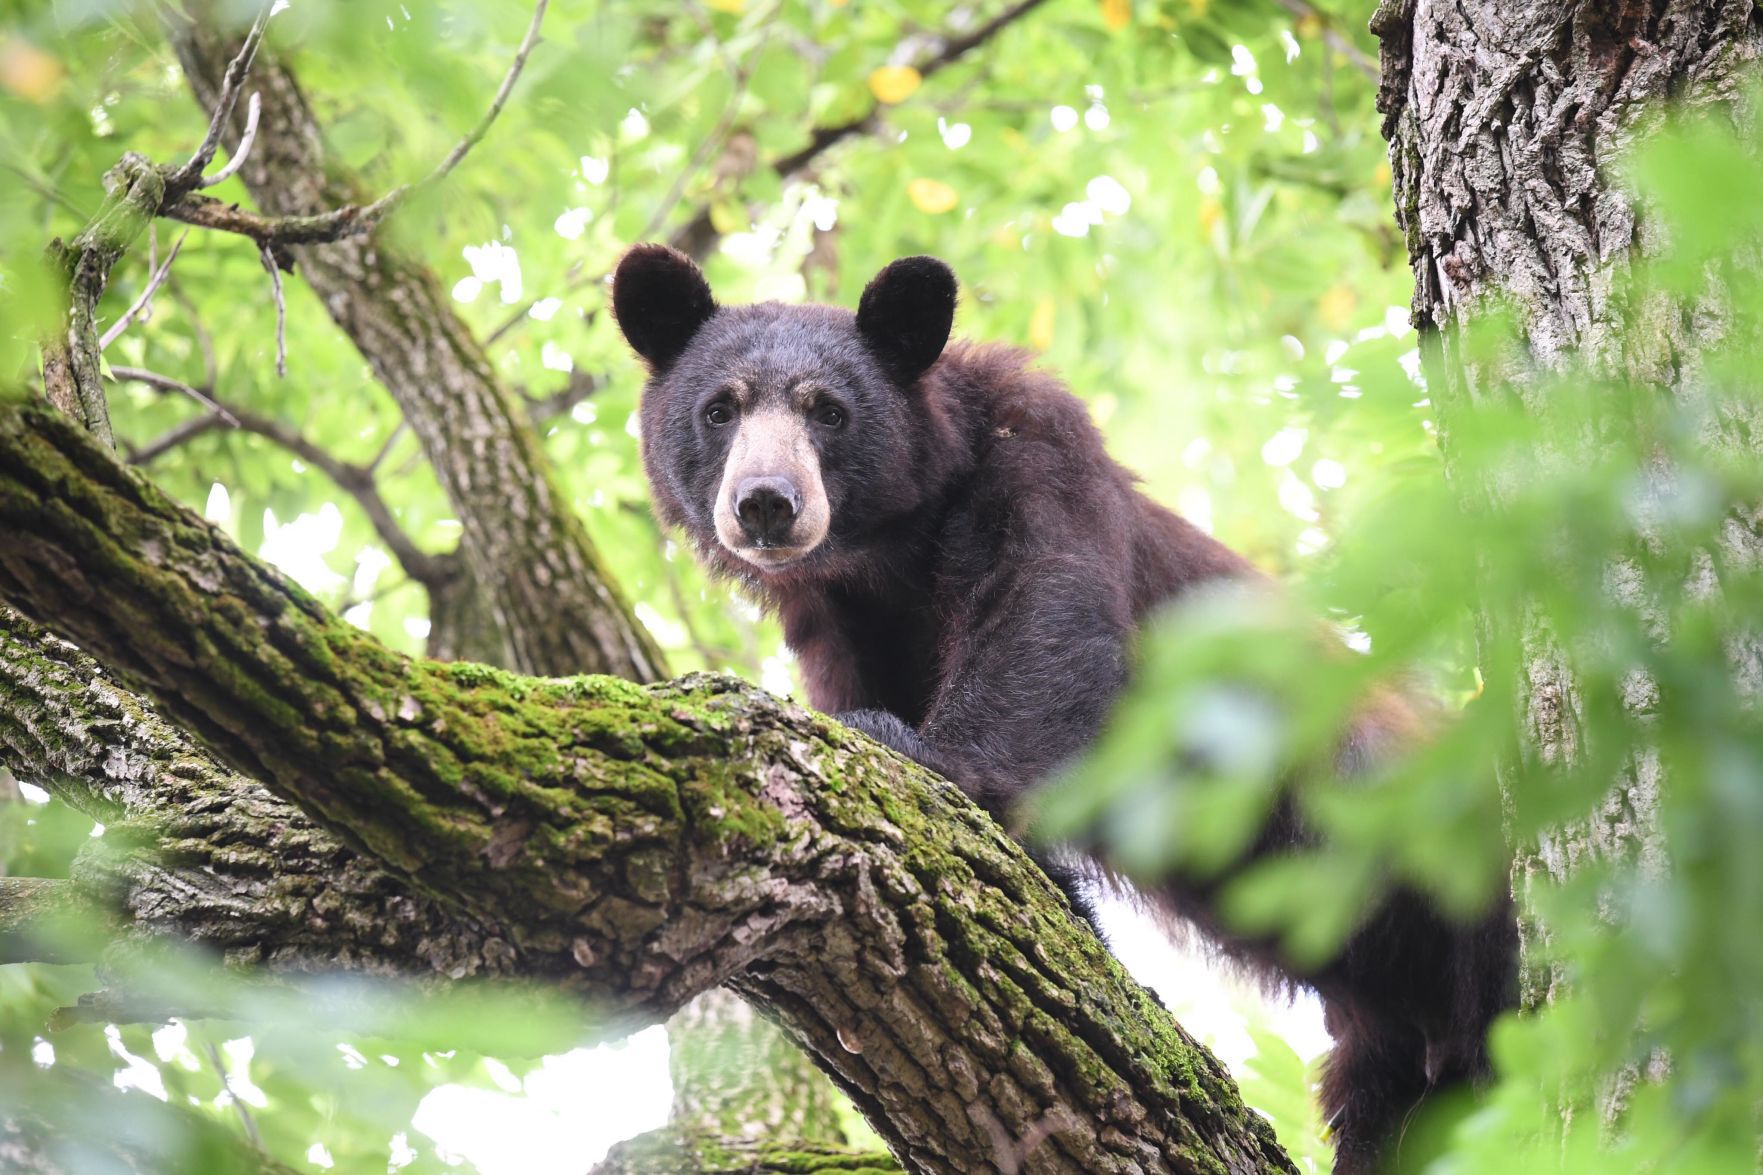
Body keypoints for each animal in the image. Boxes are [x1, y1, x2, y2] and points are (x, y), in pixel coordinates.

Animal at [617, 241, 1516, 1164]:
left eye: (827, 411)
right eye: (719, 408)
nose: (765, 501)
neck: (888, 554)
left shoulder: (1037, 454)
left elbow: (1041, 624)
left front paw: (916, 751)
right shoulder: (839, 625)